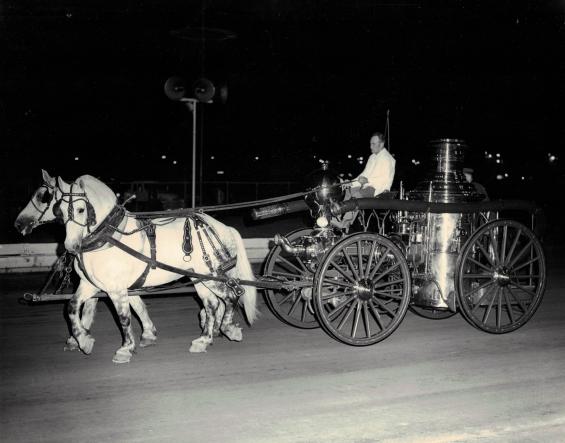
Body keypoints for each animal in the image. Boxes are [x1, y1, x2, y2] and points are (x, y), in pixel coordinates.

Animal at [14, 170, 159, 354]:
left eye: (42, 196)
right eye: (60, 210)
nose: (19, 223)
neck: (112, 236)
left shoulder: (114, 282)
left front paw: (82, 338)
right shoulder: (109, 281)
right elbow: (134, 303)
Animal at [54, 175, 256, 362]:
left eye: (81, 209)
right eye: (60, 212)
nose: (71, 246)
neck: (110, 238)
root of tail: (223, 227)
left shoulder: (116, 289)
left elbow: (124, 317)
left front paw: (125, 349)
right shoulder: (92, 284)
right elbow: (72, 306)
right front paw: (83, 341)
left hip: (210, 275)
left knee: (230, 297)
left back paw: (228, 329)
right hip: (200, 277)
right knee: (212, 304)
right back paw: (204, 340)